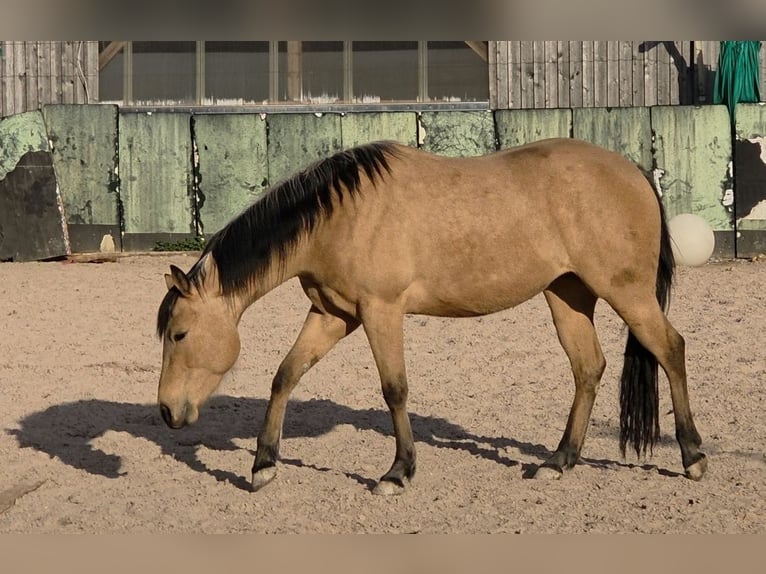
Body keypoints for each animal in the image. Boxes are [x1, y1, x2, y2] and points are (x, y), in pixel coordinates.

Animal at [156, 138, 707, 495]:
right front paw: (263, 465)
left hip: (625, 292)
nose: (166, 411)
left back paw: (692, 456)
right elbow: (286, 375)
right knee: (588, 367)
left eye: (179, 334)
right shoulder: (332, 313)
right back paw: (559, 461)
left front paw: (398, 473)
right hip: (567, 294)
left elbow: (394, 389)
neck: (341, 216)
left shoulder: (380, 311)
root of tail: (633, 172)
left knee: (670, 348)